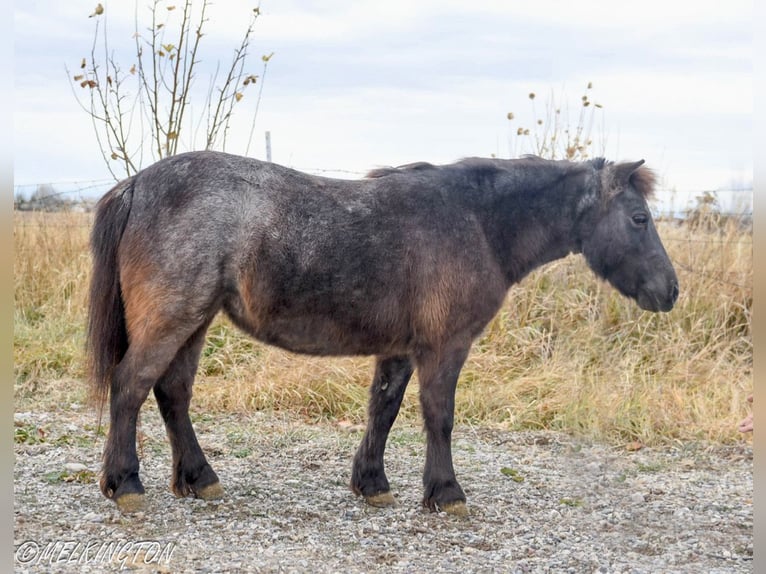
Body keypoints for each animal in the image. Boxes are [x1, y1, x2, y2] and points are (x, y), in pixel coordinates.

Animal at [87, 151, 680, 516]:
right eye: (640, 219)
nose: (670, 291)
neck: (479, 222)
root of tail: (137, 184)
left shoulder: (401, 350)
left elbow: (384, 410)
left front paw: (371, 484)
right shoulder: (444, 347)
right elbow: (439, 417)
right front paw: (446, 492)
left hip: (195, 321)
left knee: (173, 394)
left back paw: (199, 478)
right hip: (173, 319)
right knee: (131, 386)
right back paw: (126, 483)